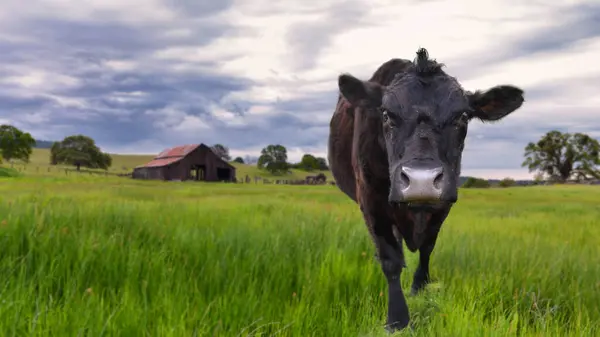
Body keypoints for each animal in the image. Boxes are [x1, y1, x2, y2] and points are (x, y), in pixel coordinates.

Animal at [328, 48, 524, 330]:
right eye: (386, 115)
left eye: (462, 116)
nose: (421, 180)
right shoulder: (371, 201)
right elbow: (390, 259)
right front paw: (397, 319)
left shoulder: (442, 204)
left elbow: (427, 248)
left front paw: (420, 287)